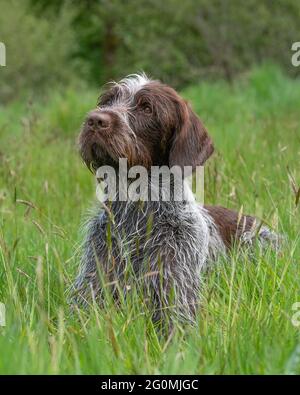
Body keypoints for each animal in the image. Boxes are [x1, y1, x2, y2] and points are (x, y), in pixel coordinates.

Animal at [71, 73, 280, 324]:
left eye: (147, 108)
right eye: (107, 101)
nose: (94, 120)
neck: (136, 212)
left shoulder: (176, 293)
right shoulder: (92, 286)